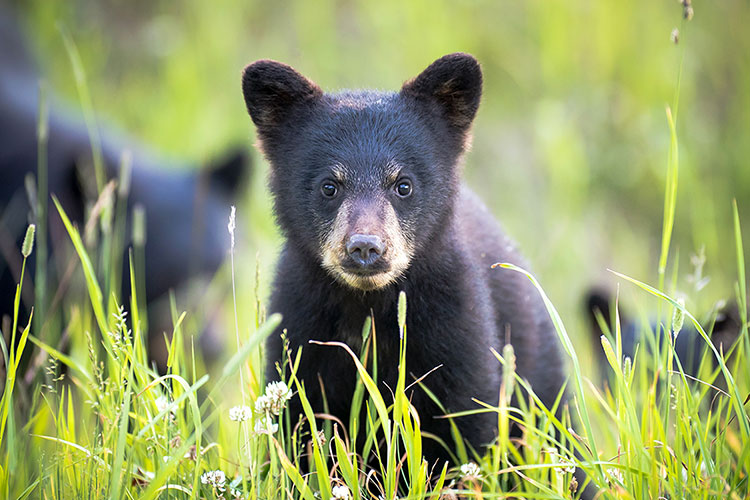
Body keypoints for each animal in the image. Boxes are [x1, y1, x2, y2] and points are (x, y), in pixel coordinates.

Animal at [241, 55, 564, 468]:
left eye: (403, 184)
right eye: (329, 186)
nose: (365, 247)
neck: (368, 307)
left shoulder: (454, 329)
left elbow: (466, 426)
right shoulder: (300, 332)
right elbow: (300, 433)